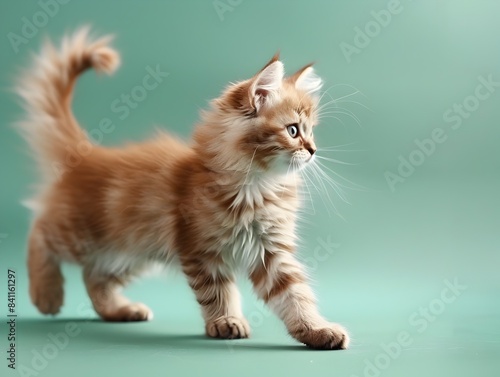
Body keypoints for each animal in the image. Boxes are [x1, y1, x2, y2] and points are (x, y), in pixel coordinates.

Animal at [17, 28, 350, 350]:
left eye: (311, 132)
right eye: (293, 131)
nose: (313, 150)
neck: (256, 186)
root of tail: (88, 154)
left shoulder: (271, 251)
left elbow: (295, 295)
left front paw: (317, 330)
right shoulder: (201, 250)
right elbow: (218, 291)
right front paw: (226, 321)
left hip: (132, 250)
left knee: (93, 276)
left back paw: (122, 310)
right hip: (85, 234)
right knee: (39, 231)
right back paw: (46, 295)